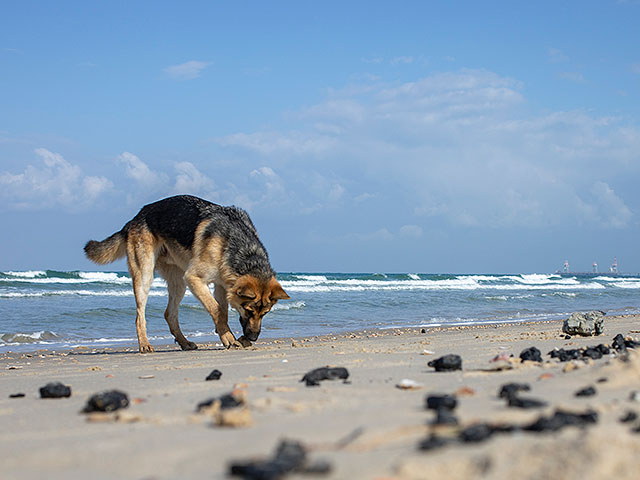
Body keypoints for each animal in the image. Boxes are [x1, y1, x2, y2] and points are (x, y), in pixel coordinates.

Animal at [84, 195, 288, 352]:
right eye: (249, 310)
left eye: (265, 313)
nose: (253, 337)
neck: (243, 250)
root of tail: (136, 217)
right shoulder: (195, 278)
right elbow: (216, 310)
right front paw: (229, 338)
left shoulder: (222, 285)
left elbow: (222, 311)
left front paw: (226, 336)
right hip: (145, 276)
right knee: (139, 315)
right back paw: (144, 344)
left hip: (178, 283)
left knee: (169, 314)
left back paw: (184, 342)